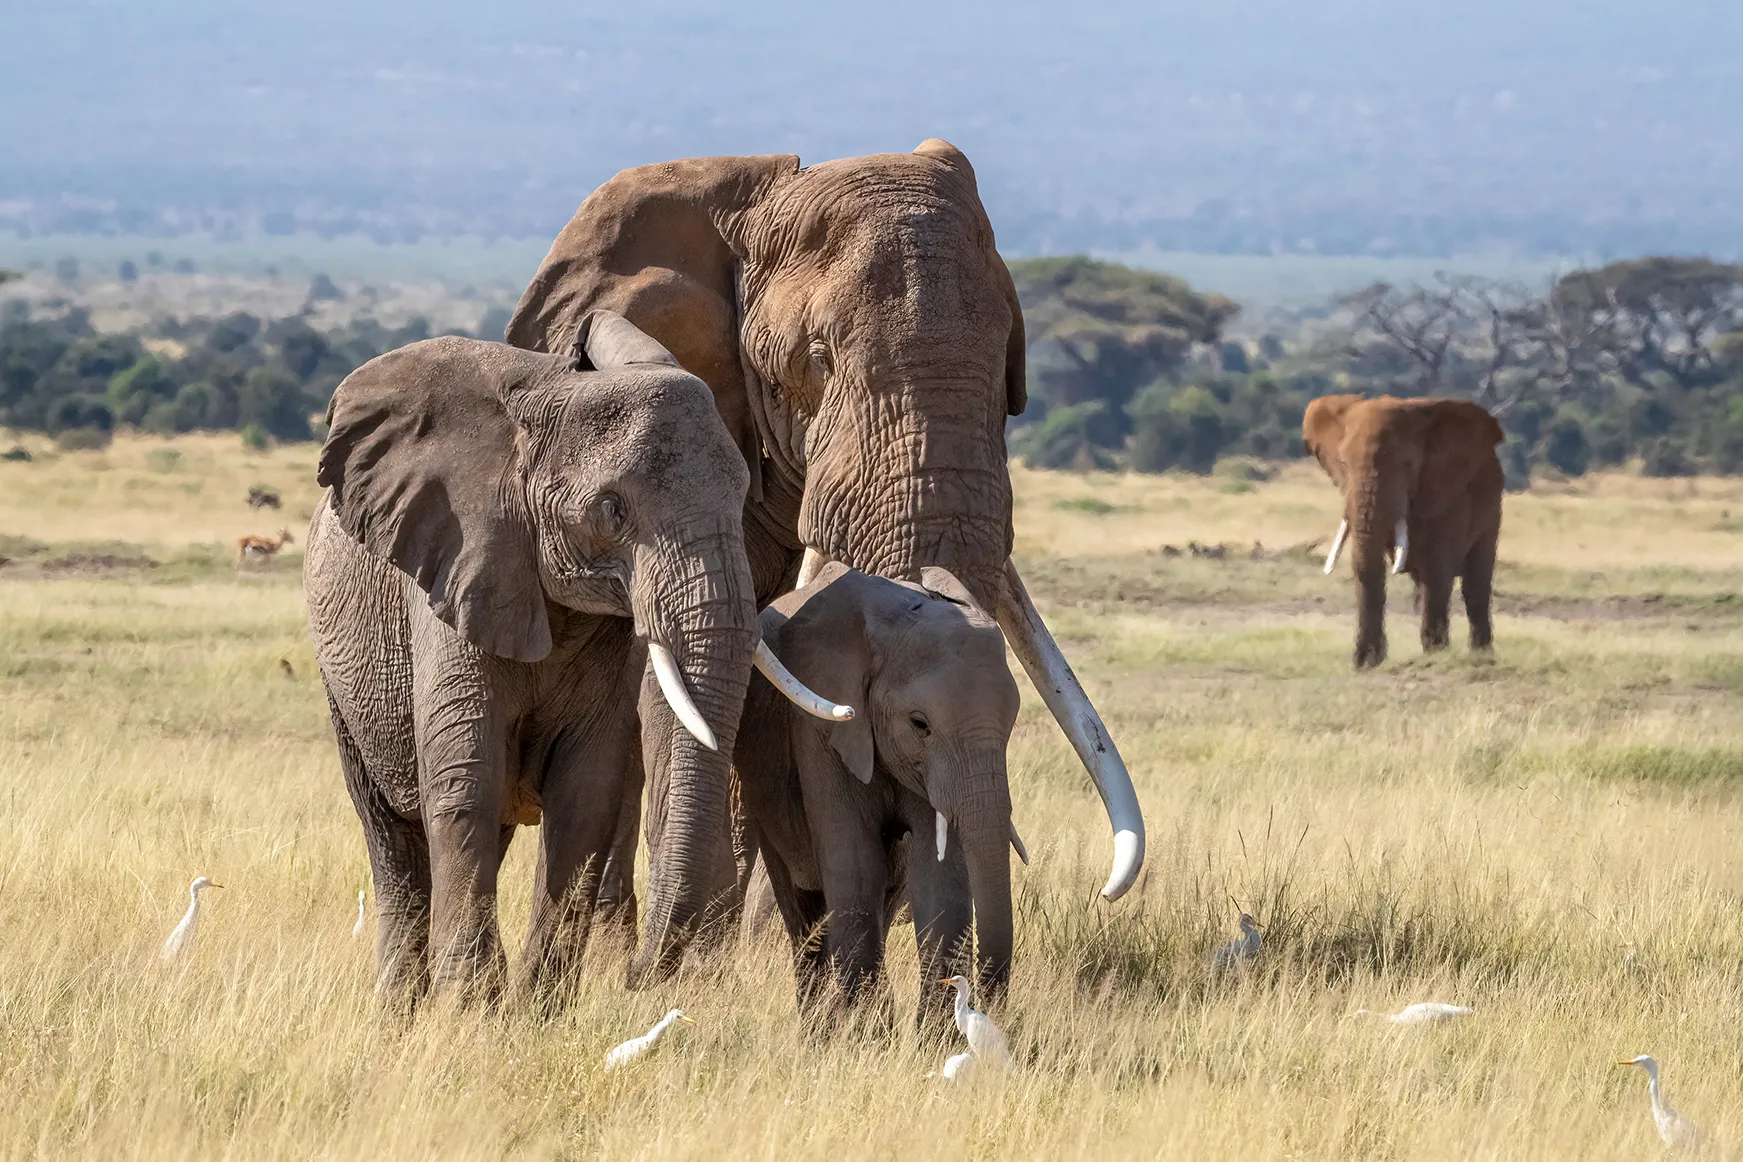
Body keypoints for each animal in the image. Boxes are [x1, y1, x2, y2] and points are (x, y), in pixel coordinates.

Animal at [304, 310, 834, 1003]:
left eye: (744, 494)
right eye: (612, 510)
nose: (638, 977)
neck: (549, 394)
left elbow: (585, 796)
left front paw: (533, 1008)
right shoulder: (458, 568)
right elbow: (466, 781)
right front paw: (470, 1004)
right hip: (340, 680)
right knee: (392, 835)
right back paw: (400, 1007)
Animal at [732, 564, 1022, 1024]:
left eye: (1011, 721)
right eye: (920, 724)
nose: (988, 1007)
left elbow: (940, 873)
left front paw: (933, 1034)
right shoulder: (819, 727)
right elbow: (854, 863)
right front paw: (865, 1030)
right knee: (800, 907)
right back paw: (821, 1023)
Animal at [1303, 394, 1505, 669]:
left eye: (1408, 465)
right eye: (1344, 464)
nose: (1361, 660)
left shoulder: (1448, 491)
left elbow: (1438, 569)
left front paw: (1436, 654)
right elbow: (1366, 565)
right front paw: (1367, 662)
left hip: (1492, 505)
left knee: (1475, 583)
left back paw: (1481, 654)